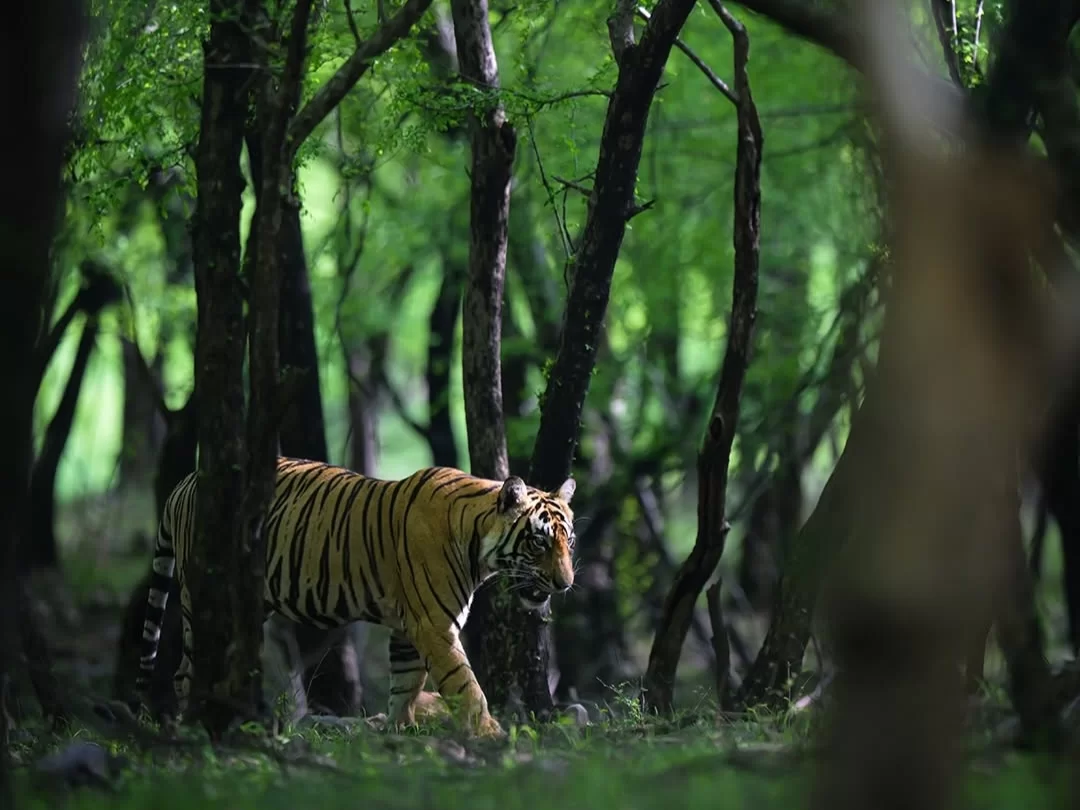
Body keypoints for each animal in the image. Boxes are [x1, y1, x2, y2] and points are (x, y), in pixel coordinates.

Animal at [135, 457, 577, 738]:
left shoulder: (409, 628)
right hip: (202, 593)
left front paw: (400, 731)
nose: (565, 584)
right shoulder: (434, 625)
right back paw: (193, 723)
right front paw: (490, 734)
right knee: (184, 670)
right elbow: (464, 683)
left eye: (569, 542)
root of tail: (188, 480)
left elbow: (406, 683)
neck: (477, 541)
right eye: (539, 542)